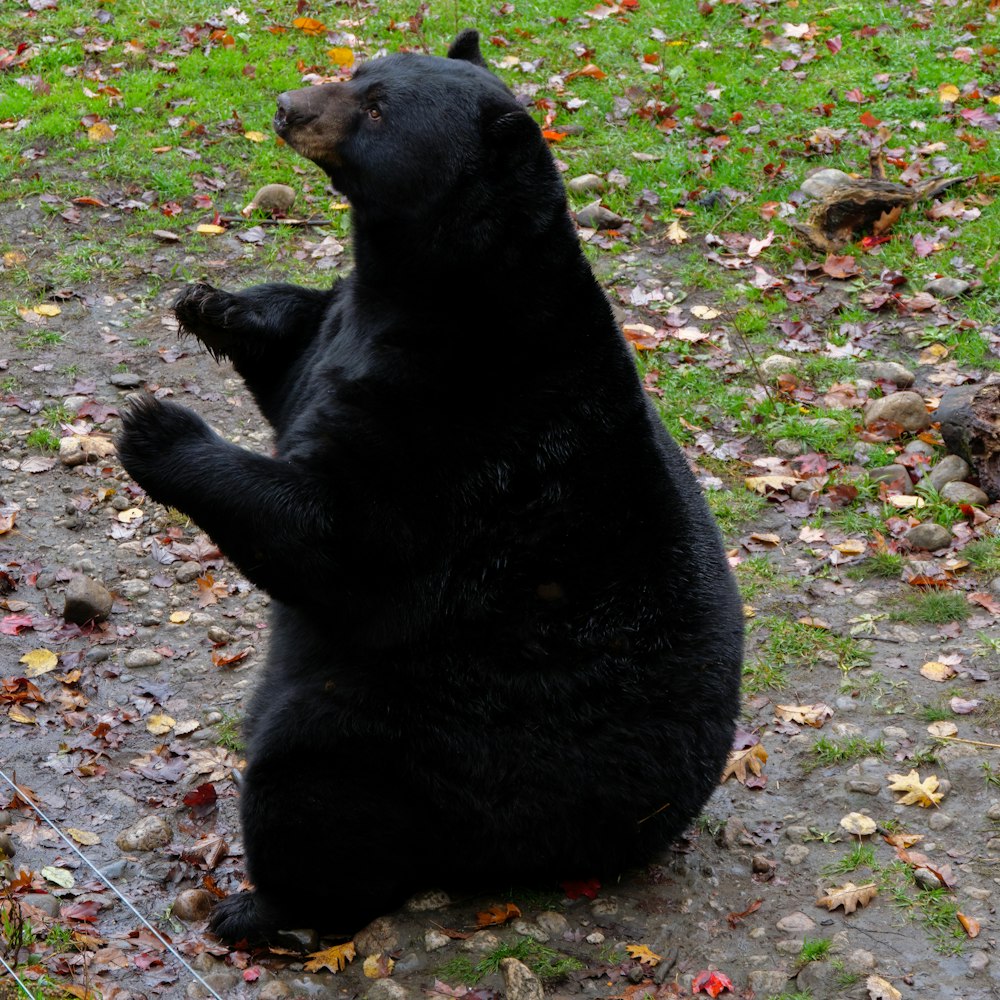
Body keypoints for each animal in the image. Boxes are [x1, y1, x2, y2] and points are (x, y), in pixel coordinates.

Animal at [117, 27, 744, 940]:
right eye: (359, 71)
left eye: (377, 108)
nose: (288, 106)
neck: (431, 288)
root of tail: (629, 834)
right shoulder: (355, 331)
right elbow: (298, 347)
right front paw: (213, 301)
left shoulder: (459, 427)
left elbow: (336, 534)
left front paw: (158, 427)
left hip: (408, 740)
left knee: (312, 790)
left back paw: (258, 904)